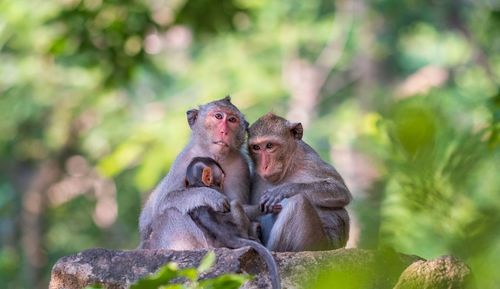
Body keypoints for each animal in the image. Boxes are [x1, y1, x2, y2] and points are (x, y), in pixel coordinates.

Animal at [139, 95, 250, 242]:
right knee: (171, 212)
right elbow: (164, 202)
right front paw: (210, 196)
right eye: (218, 116)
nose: (224, 131)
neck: (213, 155)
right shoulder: (182, 161)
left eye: (232, 120)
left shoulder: (241, 166)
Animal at [246, 111, 352, 251]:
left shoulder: (311, 160)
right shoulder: (255, 175)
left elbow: (341, 191)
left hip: (317, 243)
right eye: (256, 147)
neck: (288, 167)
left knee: (298, 202)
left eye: (269, 146)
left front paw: (284, 190)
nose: (264, 166)